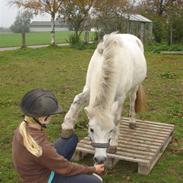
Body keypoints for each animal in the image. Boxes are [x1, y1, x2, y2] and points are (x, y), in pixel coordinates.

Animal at [61, 32, 147, 164]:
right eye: (91, 129)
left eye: (110, 130)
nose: (100, 159)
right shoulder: (89, 88)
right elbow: (77, 100)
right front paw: (67, 127)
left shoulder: (120, 98)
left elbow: (116, 118)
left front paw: (114, 144)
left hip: (135, 86)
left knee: (132, 100)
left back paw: (132, 121)